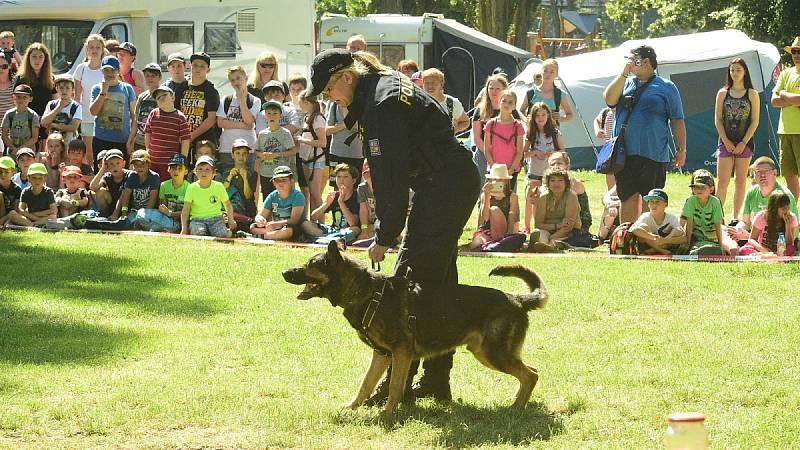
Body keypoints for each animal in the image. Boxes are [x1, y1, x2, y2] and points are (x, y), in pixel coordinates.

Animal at [282, 243, 552, 412]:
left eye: (310, 265)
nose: (284, 272)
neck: (367, 292)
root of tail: (517, 299)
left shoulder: (402, 353)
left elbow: (394, 386)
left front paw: (387, 414)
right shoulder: (382, 355)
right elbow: (366, 383)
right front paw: (352, 407)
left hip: (492, 354)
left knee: (531, 374)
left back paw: (516, 408)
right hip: (486, 353)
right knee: (531, 371)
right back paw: (517, 402)